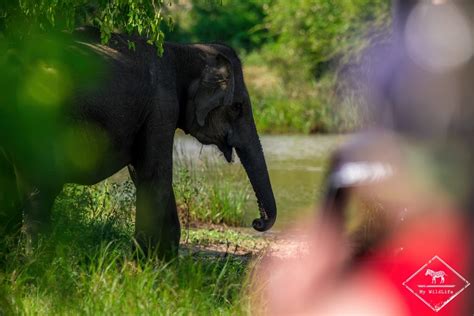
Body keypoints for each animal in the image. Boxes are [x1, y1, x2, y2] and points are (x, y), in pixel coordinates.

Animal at [0, 27, 278, 258]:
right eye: (238, 107)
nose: (257, 222)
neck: (184, 50)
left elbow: (145, 174)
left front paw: (164, 262)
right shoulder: (162, 105)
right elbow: (154, 175)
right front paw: (143, 264)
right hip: (39, 118)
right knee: (41, 188)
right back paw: (36, 262)